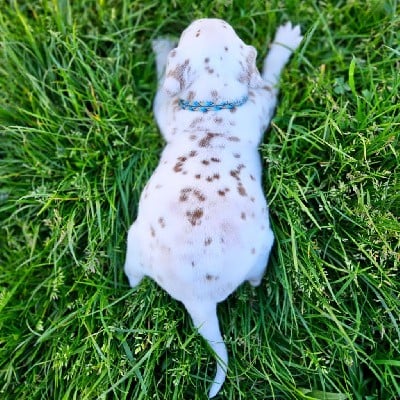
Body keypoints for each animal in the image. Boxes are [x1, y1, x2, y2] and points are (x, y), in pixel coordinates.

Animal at [124, 18, 302, 398]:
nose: (206, 19)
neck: (213, 107)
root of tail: (200, 300)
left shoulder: (173, 111)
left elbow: (163, 91)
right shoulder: (260, 100)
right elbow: (270, 74)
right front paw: (285, 42)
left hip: (135, 242)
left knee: (133, 275)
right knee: (254, 280)